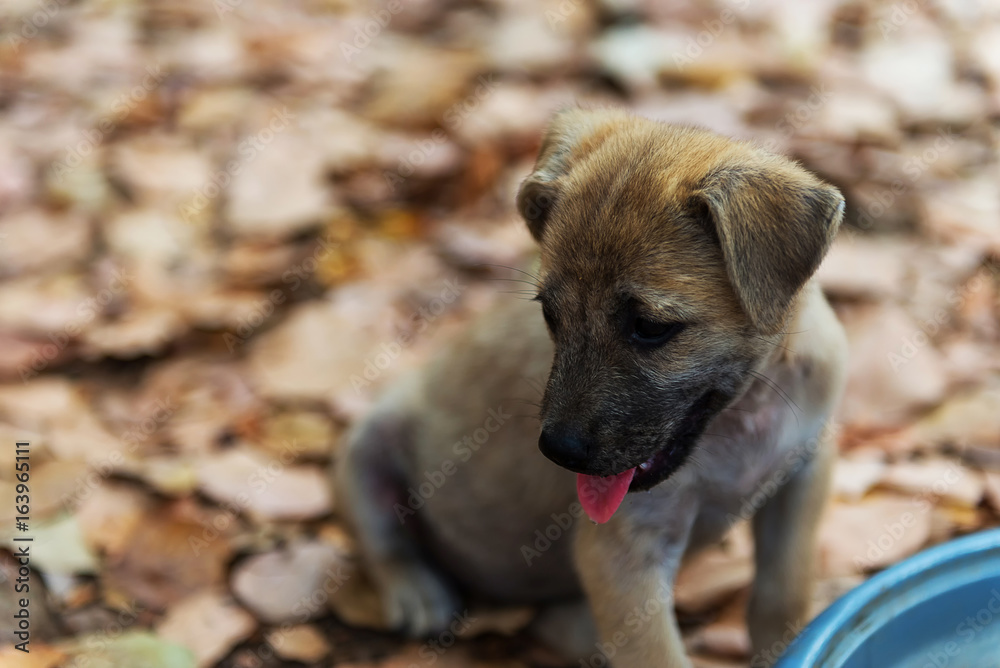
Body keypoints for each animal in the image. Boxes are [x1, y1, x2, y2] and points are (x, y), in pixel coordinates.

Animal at [334, 107, 844, 664]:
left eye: (649, 327)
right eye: (549, 315)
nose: (559, 452)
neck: (741, 418)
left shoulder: (802, 475)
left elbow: (782, 596)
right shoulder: (624, 552)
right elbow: (660, 654)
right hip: (366, 446)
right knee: (382, 537)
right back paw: (417, 592)